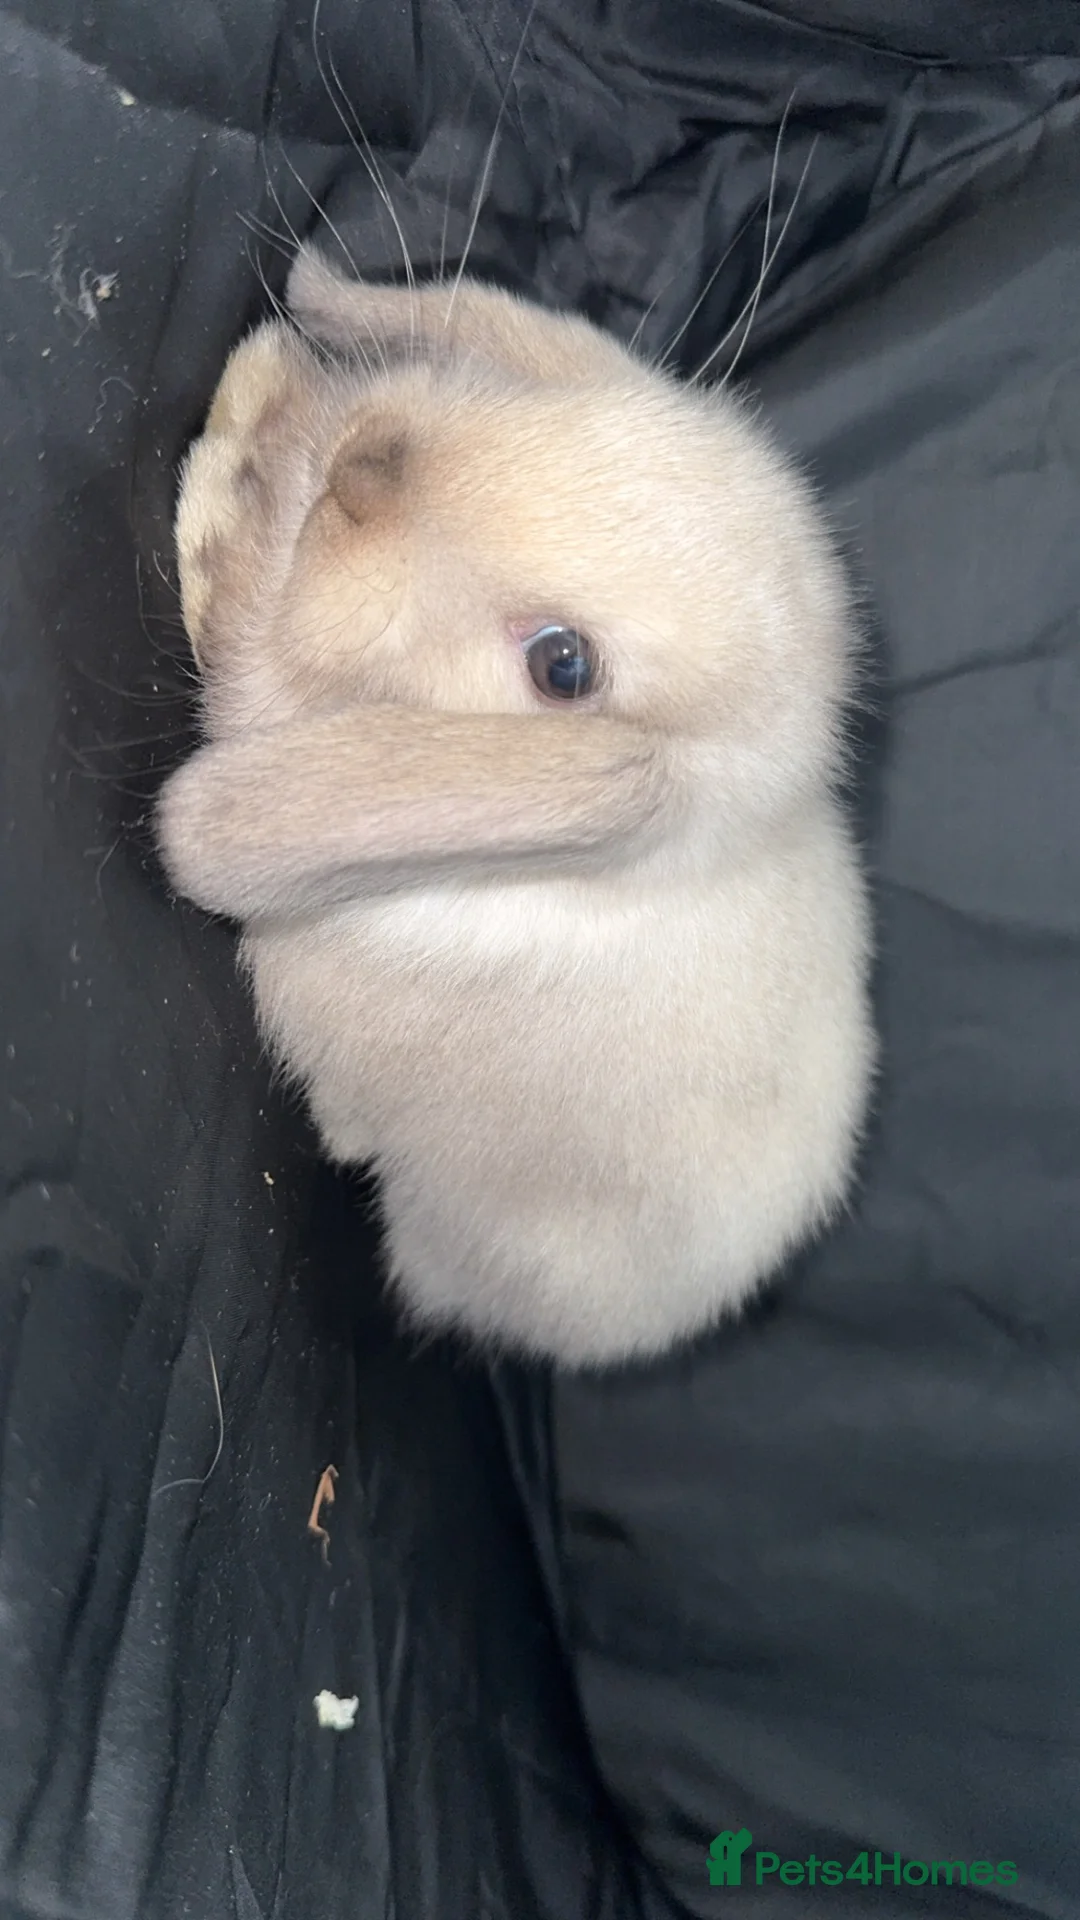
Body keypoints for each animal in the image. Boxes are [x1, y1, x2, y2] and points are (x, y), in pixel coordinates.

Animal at [155, 243, 875, 1368]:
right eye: (579, 420)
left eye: (563, 666)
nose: (363, 467)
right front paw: (264, 382)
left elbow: (232, 621)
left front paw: (231, 461)